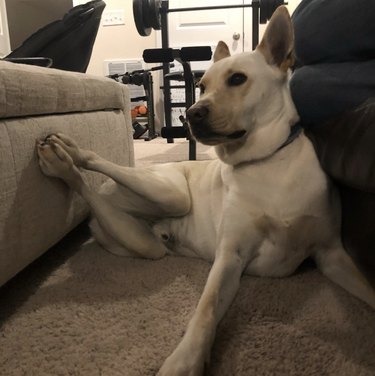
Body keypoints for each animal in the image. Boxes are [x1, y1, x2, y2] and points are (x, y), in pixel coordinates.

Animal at [36, 6, 375, 376]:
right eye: (201, 86)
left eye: (238, 79)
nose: (191, 115)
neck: (268, 161)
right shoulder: (230, 256)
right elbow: (207, 309)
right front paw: (185, 360)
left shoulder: (332, 255)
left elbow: (369, 289)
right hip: (170, 194)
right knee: (100, 163)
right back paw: (66, 154)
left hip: (142, 242)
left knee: (92, 193)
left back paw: (64, 165)